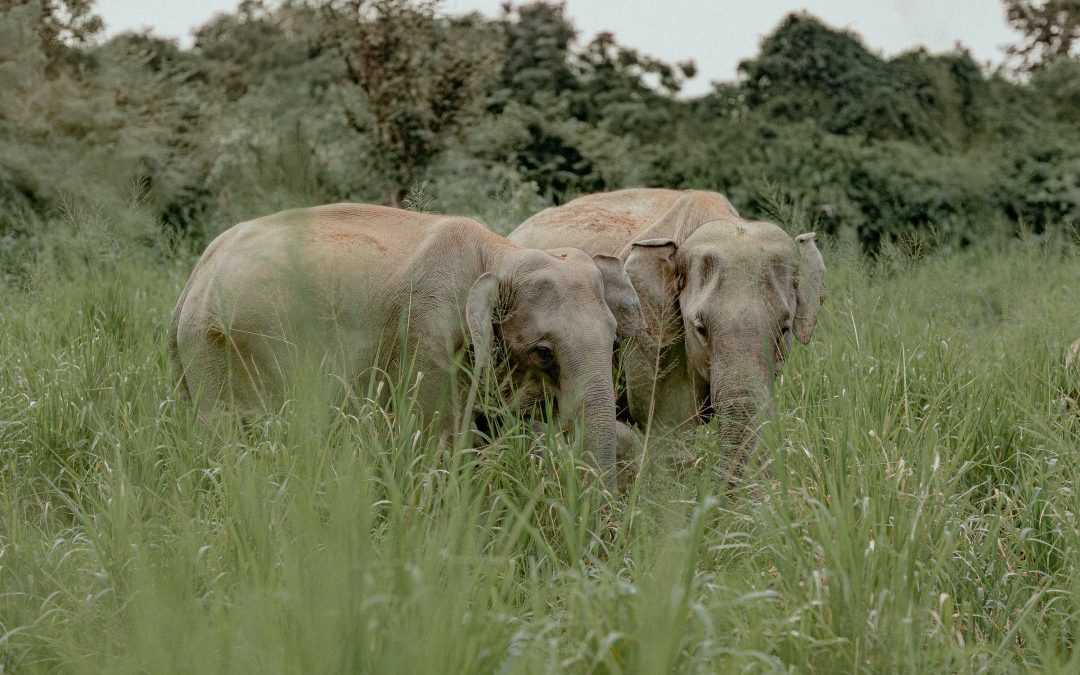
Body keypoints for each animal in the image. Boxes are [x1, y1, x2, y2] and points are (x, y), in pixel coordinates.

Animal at [167, 199, 639, 483]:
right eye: (543, 352)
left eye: (615, 342)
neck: (499, 253)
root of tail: (193, 277)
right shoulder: (426, 331)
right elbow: (435, 441)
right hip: (216, 351)